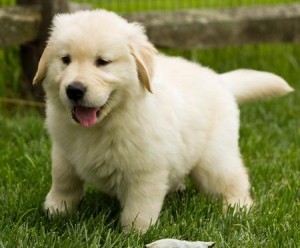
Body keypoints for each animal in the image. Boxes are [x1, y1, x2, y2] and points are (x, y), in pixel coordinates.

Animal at [33, 9, 292, 232]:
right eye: (65, 59)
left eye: (103, 62)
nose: (74, 90)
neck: (106, 122)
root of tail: (219, 80)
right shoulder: (63, 150)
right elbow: (64, 179)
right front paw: (57, 210)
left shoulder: (146, 169)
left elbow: (139, 207)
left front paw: (136, 234)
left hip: (213, 158)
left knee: (233, 179)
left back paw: (237, 209)